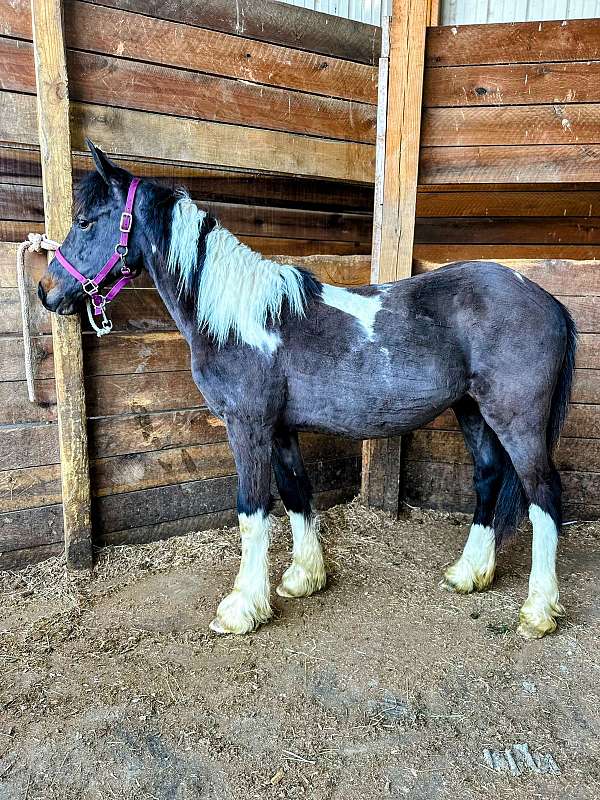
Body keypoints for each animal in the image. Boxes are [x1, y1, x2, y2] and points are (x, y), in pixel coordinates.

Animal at [37, 144, 576, 640]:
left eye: (85, 221)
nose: (46, 290)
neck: (241, 318)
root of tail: (547, 299)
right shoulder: (279, 430)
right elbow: (297, 493)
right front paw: (304, 579)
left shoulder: (248, 426)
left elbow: (252, 510)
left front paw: (242, 609)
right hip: (472, 411)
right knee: (488, 479)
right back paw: (469, 574)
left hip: (517, 421)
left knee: (544, 495)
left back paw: (537, 611)